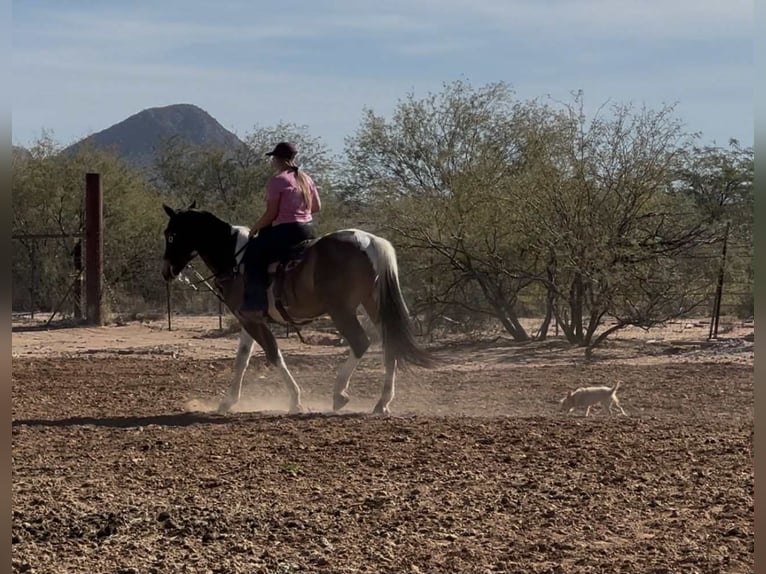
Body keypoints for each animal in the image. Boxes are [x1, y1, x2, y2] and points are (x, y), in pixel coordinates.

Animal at [161, 202, 434, 415]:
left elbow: (273, 354)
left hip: (341, 310)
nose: (166, 271)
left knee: (360, 342)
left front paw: (295, 400)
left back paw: (339, 394)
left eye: (171, 234)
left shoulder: (251, 320)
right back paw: (382, 402)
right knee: (390, 343)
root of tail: (371, 242)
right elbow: (242, 359)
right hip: (374, 304)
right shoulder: (249, 319)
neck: (235, 259)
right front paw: (227, 401)